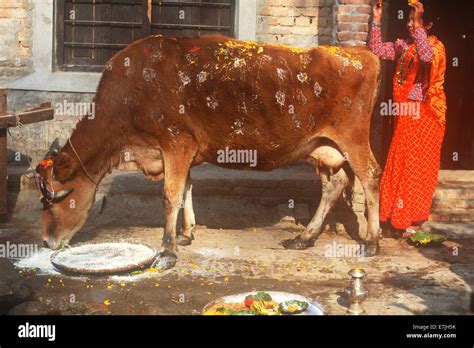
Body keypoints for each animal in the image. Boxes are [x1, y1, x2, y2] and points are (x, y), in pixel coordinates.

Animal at [38, 34, 386, 270]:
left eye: (55, 199)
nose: (45, 241)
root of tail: (359, 54)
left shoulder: (175, 142)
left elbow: (170, 196)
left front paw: (167, 251)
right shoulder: (184, 150)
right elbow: (186, 190)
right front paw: (186, 233)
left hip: (352, 139)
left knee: (370, 176)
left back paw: (371, 241)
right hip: (323, 148)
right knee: (334, 184)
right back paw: (304, 238)